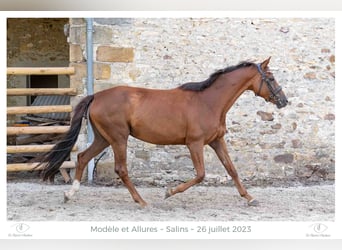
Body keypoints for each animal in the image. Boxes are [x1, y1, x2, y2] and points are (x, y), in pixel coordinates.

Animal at [38, 57, 288, 206]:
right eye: (271, 78)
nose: (284, 101)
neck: (209, 102)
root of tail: (96, 96)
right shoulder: (194, 143)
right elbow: (200, 174)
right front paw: (169, 192)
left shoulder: (216, 141)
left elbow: (232, 169)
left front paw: (250, 198)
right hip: (118, 138)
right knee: (121, 169)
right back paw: (141, 201)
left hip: (103, 138)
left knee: (82, 158)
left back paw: (70, 194)